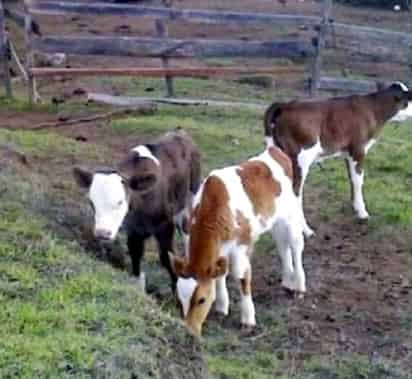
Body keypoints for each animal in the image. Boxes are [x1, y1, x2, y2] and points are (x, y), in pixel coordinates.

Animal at [73, 129, 201, 292]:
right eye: (91, 202)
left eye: (120, 202)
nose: (102, 233)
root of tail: (178, 131)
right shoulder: (133, 229)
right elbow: (135, 253)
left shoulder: (165, 225)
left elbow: (167, 257)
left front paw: (176, 290)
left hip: (192, 191)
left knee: (186, 226)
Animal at [170, 147, 306, 336]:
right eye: (179, 298)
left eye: (201, 300)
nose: (189, 331)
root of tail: (274, 151)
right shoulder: (221, 248)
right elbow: (220, 274)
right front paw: (222, 307)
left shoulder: (242, 245)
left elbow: (241, 276)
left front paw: (248, 319)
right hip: (274, 219)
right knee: (281, 244)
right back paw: (287, 281)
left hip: (290, 214)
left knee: (295, 245)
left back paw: (299, 287)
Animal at [264, 83, 412, 238]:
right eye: (410, 99)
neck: (373, 109)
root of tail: (286, 105)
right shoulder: (358, 149)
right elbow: (358, 180)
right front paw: (363, 213)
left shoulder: (348, 153)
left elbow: (352, 179)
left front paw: (355, 208)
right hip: (300, 159)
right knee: (295, 192)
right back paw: (306, 230)